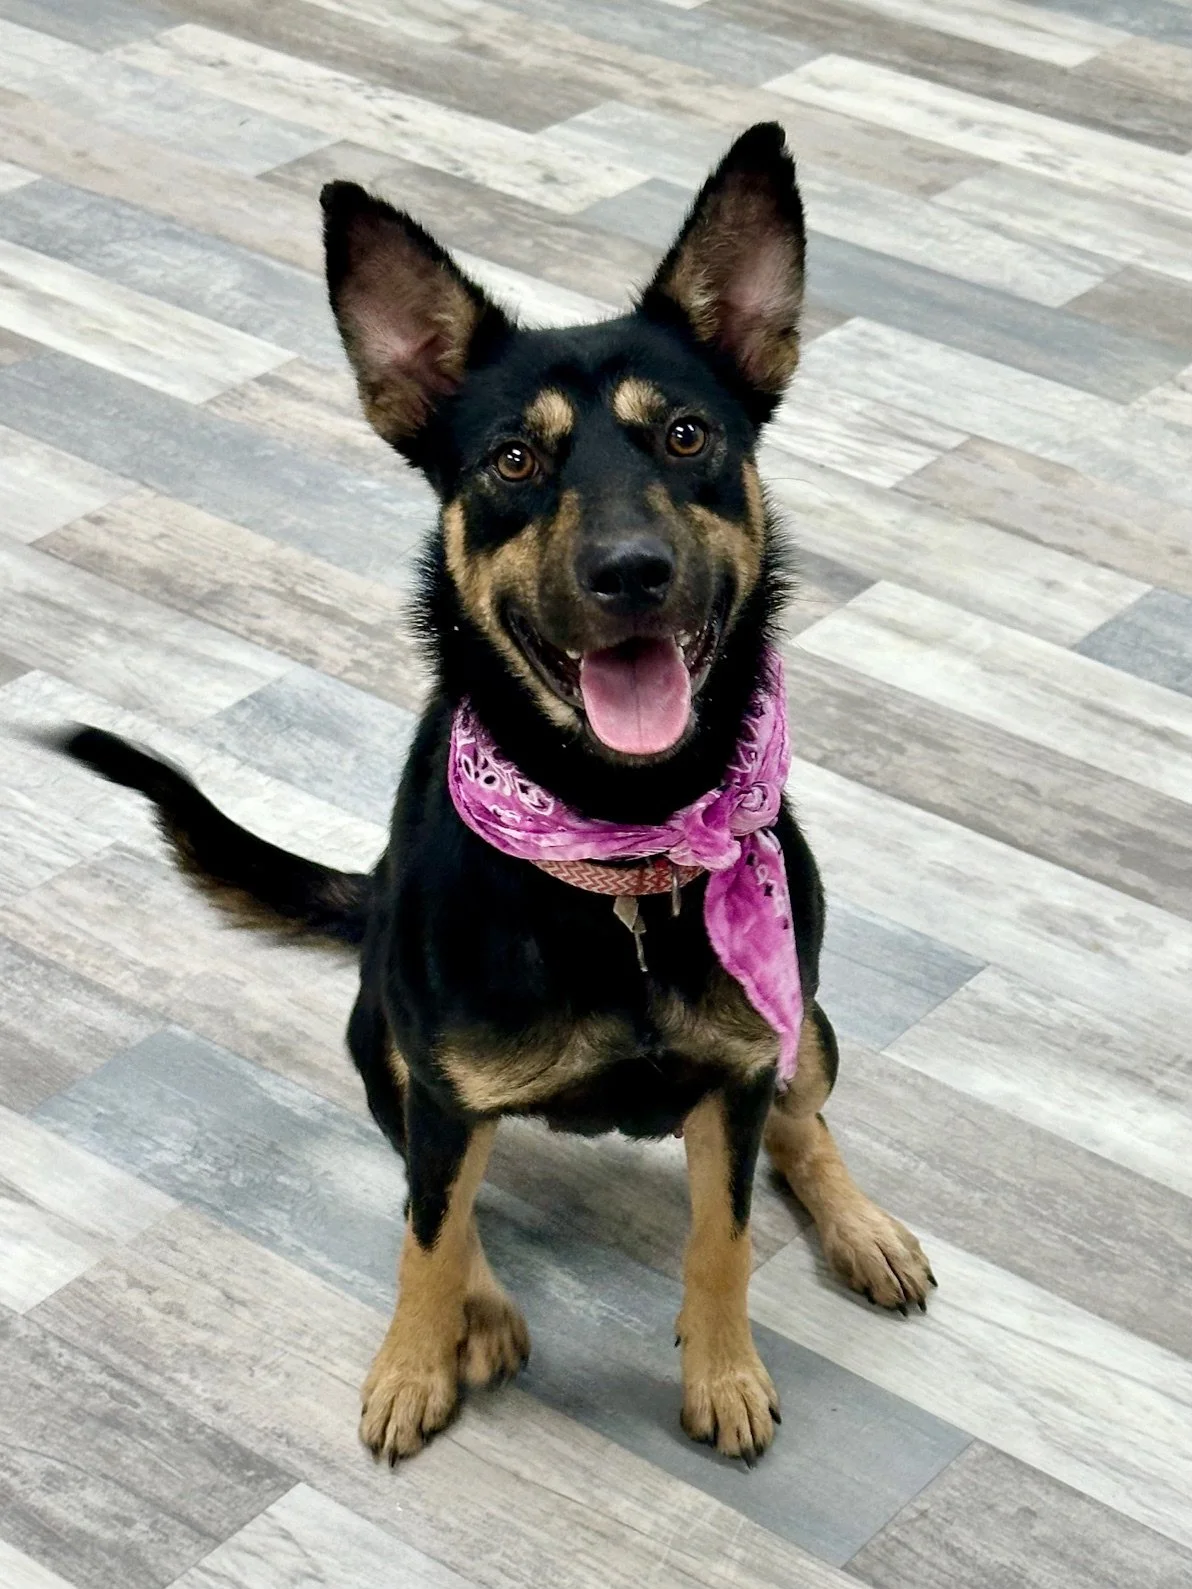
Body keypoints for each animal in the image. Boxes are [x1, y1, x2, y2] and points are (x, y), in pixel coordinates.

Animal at [57, 123, 933, 1467]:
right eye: (513, 457)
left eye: (687, 436)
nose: (631, 571)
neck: (620, 847)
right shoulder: (436, 1081)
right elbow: (427, 1233)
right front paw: (421, 1354)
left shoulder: (737, 1070)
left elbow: (723, 1233)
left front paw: (724, 1367)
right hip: (378, 1038)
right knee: (443, 1190)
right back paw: (483, 1307)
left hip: (808, 1020)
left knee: (803, 1117)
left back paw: (860, 1222)